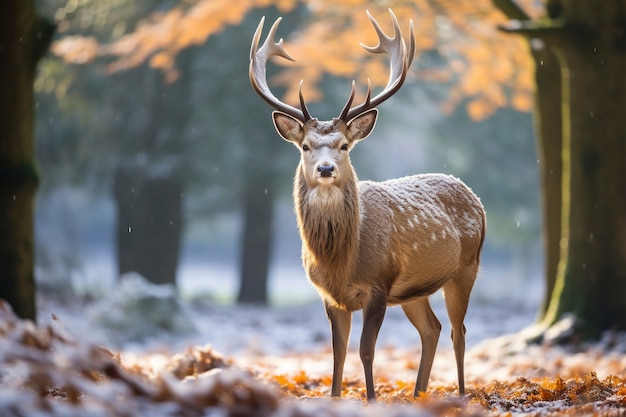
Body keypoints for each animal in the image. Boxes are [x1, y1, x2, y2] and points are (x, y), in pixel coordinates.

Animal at [247, 8, 482, 400]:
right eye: (305, 146)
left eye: (344, 145)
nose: (326, 168)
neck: (341, 259)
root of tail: (473, 195)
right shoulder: (329, 295)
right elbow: (338, 353)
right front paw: (334, 397)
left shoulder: (379, 284)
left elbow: (366, 351)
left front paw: (371, 399)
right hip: (413, 290)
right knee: (431, 330)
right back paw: (418, 395)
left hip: (467, 267)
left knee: (458, 332)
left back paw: (461, 394)